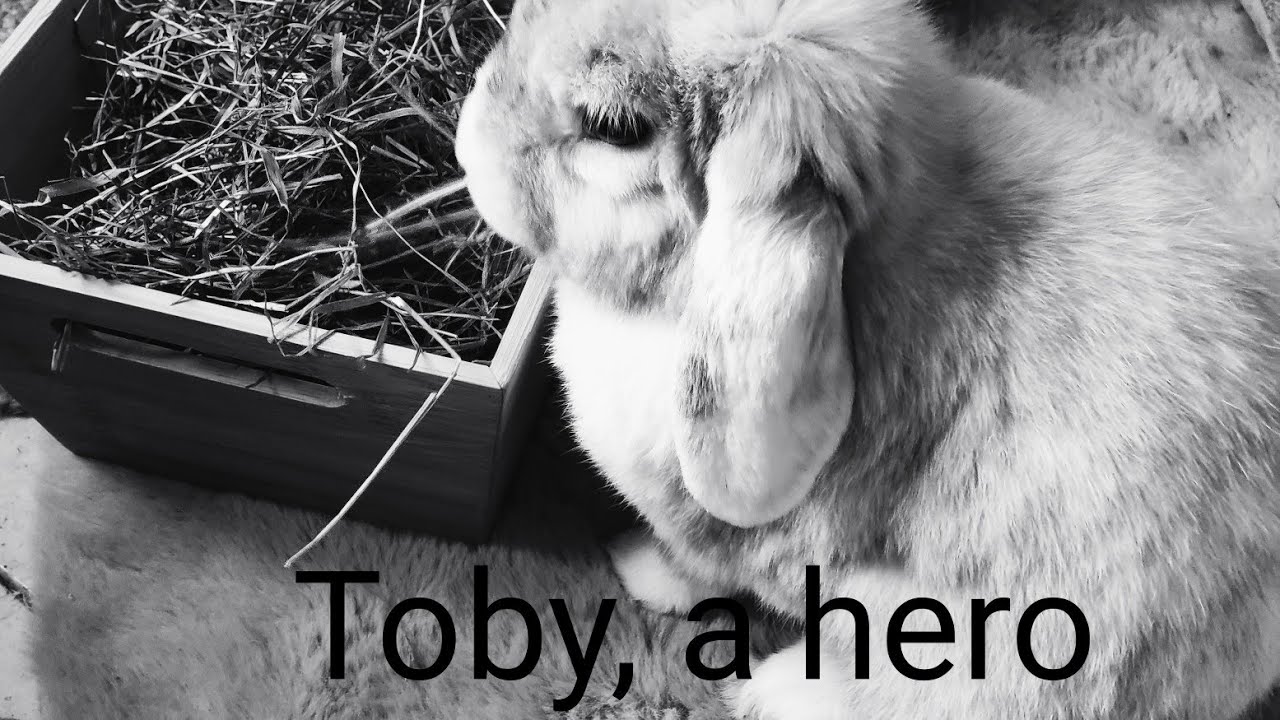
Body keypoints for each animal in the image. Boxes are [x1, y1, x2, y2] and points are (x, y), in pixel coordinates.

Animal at [453, 0, 1280, 717]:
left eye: (614, 127)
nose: (466, 138)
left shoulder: (720, 533)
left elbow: (692, 565)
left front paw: (631, 565)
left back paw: (772, 694)